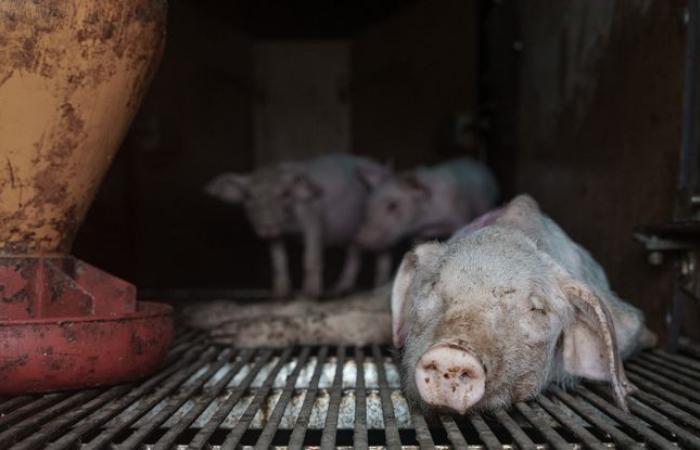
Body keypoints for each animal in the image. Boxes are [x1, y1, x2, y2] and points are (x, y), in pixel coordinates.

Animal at [204, 154, 388, 298]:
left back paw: (378, 289)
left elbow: (311, 257)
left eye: (285, 194)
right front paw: (280, 295)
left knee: (380, 255)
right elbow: (278, 261)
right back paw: (340, 289)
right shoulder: (277, 235)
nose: (266, 225)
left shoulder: (314, 219)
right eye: (248, 196)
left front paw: (310, 294)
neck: (290, 227)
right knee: (355, 255)